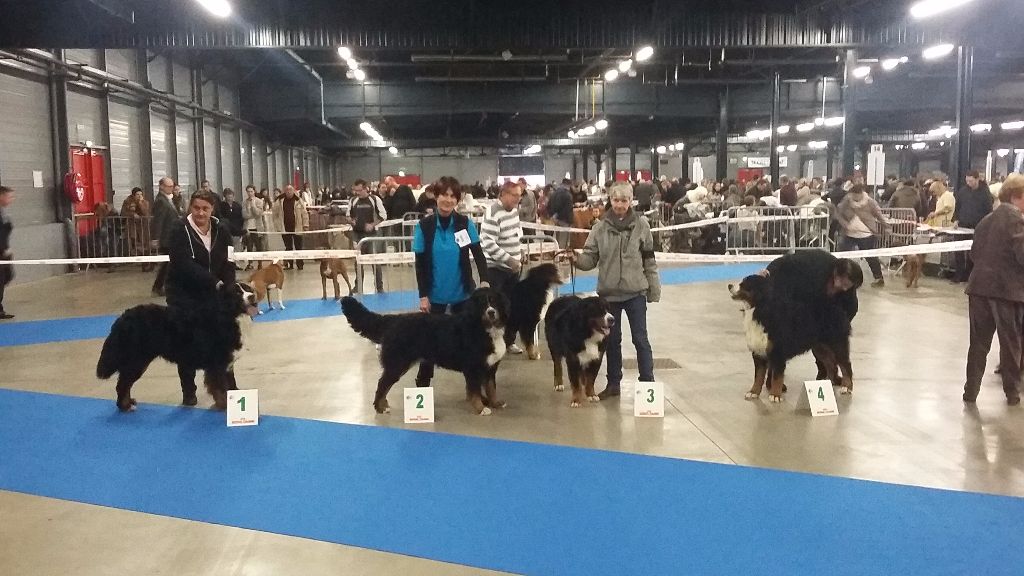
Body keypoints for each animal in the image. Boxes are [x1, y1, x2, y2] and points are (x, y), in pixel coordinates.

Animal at [96, 280, 260, 407]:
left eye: (248, 289)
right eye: (237, 293)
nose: (252, 296)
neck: (228, 316)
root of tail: (123, 317)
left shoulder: (227, 363)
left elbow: (231, 384)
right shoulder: (216, 364)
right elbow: (220, 388)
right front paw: (224, 406)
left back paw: (128, 402)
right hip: (137, 360)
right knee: (123, 383)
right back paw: (125, 406)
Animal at [339, 284, 507, 412]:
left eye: (494, 302)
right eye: (482, 304)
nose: (491, 312)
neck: (483, 328)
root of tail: (392, 320)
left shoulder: (490, 367)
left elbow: (491, 388)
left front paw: (496, 403)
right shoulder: (472, 367)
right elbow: (475, 391)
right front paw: (481, 408)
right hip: (397, 364)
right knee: (382, 384)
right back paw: (381, 408)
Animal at [729, 272, 856, 401]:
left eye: (745, 283)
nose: (729, 285)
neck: (760, 311)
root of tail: (836, 306)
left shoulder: (778, 352)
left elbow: (777, 377)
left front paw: (775, 395)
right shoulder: (758, 352)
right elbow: (758, 376)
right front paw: (753, 392)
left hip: (837, 343)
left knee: (846, 366)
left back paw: (847, 387)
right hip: (820, 347)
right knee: (831, 365)